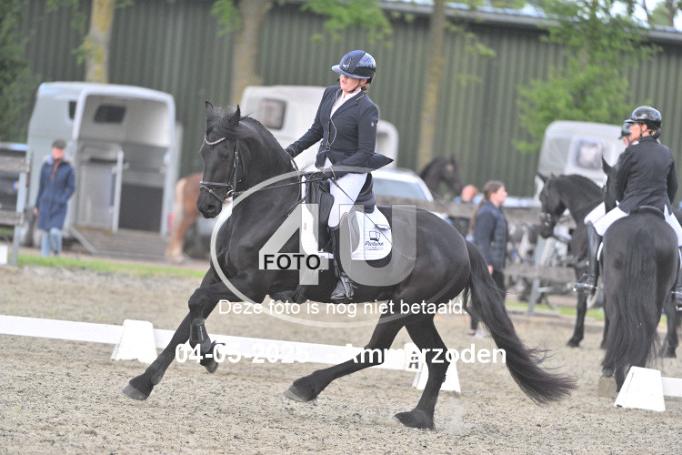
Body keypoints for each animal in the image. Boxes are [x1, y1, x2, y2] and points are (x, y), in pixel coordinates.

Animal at [123, 103, 574, 430]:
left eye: (225, 152)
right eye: (204, 151)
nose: (206, 206)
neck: (264, 207)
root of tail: (461, 241)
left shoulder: (251, 285)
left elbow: (196, 303)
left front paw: (208, 353)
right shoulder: (219, 275)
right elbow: (190, 311)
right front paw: (143, 382)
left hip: (408, 307)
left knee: (380, 353)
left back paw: (306, 387)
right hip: (416, 311)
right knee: (434, 359)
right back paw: (418, 418)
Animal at [600, 159, 678, 388]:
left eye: (605, 188)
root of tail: (644, 230)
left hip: (614, 289)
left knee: (617, 318)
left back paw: (617, 372)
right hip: (660, 291)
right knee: (650, 322)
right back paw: (636, 369)